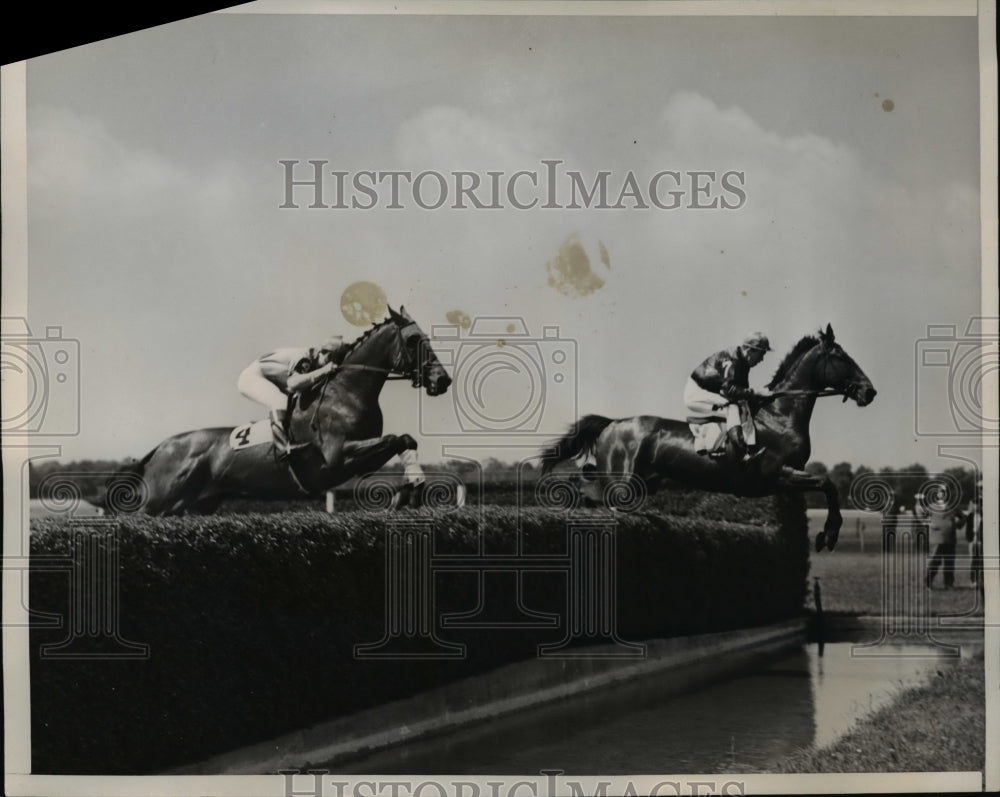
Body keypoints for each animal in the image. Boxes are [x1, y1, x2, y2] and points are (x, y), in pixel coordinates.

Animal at [123, 304, 452, 516]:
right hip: (158, 503)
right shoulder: (338, 456)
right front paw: (409, 491)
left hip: (193, 505)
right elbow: (398, 438)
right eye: (414, 340)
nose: (443, 380)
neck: (346, 392)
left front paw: (412, 487)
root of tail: (160, 449)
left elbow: (405, 440)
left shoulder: (363, 462)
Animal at [540, 326, 876, 552]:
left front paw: (826, 534)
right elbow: (828, 484)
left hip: (639, 482)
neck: (780, 416)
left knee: (586, 487)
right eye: (842, 357)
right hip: (622, 484)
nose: (869, 391)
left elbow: (826, 487)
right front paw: (828, 536)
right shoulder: (780, 474)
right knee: (590, 491)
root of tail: (613, 423)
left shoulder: (784, 481)